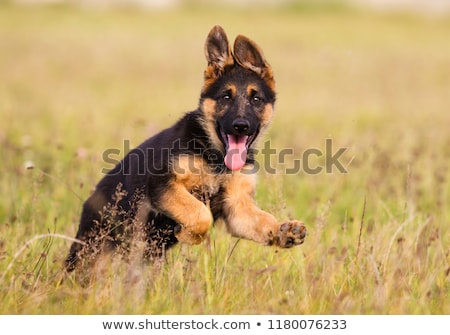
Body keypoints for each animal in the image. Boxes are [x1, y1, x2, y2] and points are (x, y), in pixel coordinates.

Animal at [65, 26, 306, 272]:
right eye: (225, 97)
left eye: (256, 99)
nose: (240, 125)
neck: (215, 156)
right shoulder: (162, 184)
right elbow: (200, 214)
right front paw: (189, 235)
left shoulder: (237, 208)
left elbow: (263, 220)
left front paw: (284, 231)